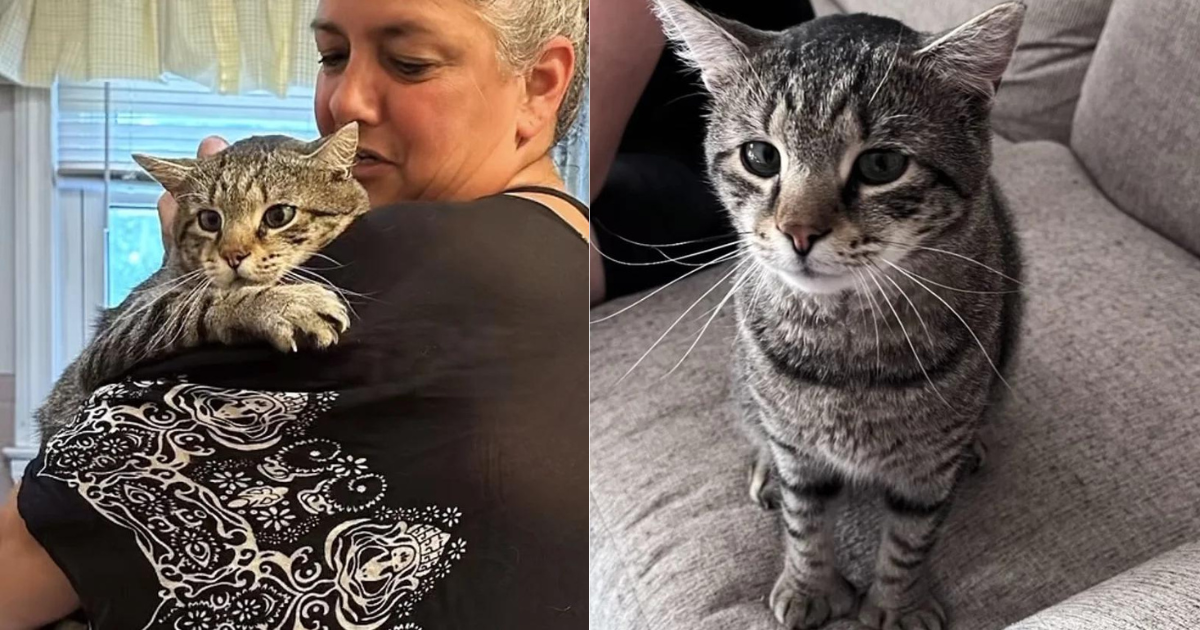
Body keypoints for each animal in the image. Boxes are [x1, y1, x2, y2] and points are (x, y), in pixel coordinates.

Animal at [37, 123, 367, 444]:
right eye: (209, 220)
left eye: (279, 215)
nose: (233, 255)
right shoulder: (115, 332)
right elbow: (190, 305)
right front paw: (282, 305)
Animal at [652, 1, 1027, 628]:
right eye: (760, 156)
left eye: (882, 164)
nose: (799, 232)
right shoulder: (798, 451)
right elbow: (804, 524)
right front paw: (809, 588)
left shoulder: (929, 466)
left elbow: (911, 538)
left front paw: (899, 604)